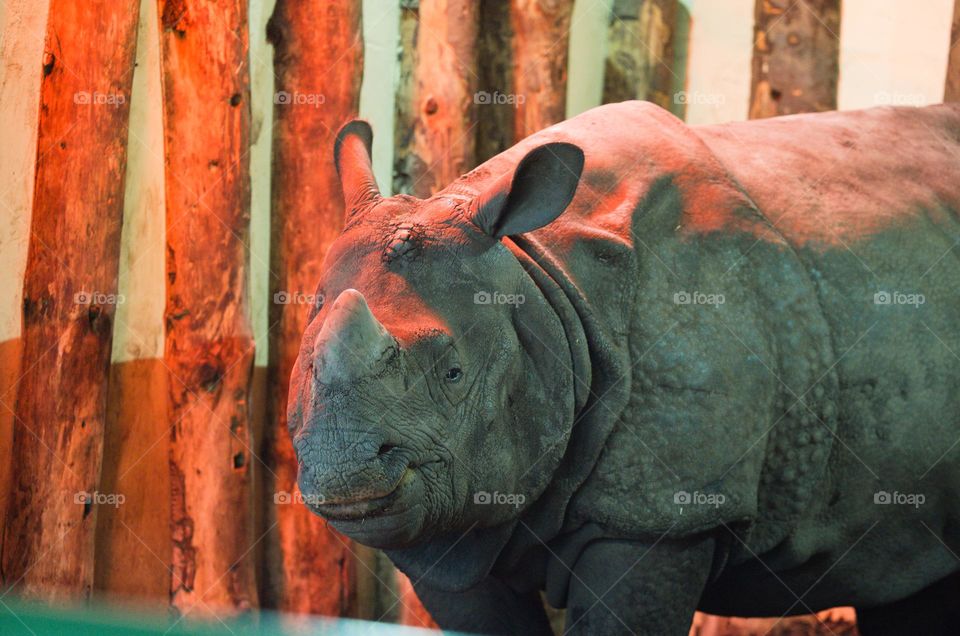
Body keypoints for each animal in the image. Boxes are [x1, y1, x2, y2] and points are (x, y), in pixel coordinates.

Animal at [288, 101, 960, 635]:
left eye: (453, 375)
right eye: (303, 362)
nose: (343, 473)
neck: (539, 280)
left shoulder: (663, 516)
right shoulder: (451, 517)